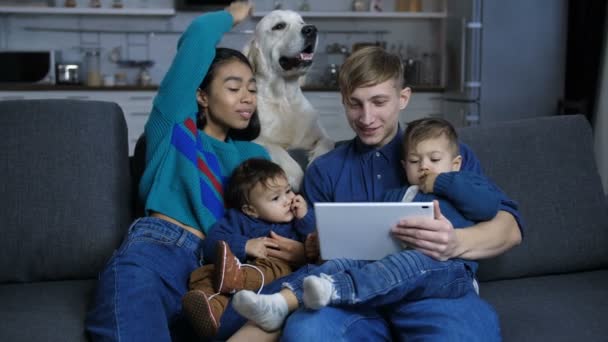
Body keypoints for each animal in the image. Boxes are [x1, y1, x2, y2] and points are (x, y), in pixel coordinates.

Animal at [245, 9, 334, 191]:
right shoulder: (256, 139)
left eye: (302, 22)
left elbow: (328, 143)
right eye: (279, 26)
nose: (311, 29)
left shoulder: (320, 135)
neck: (285, 100)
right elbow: (275, 147)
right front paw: (296, 176)